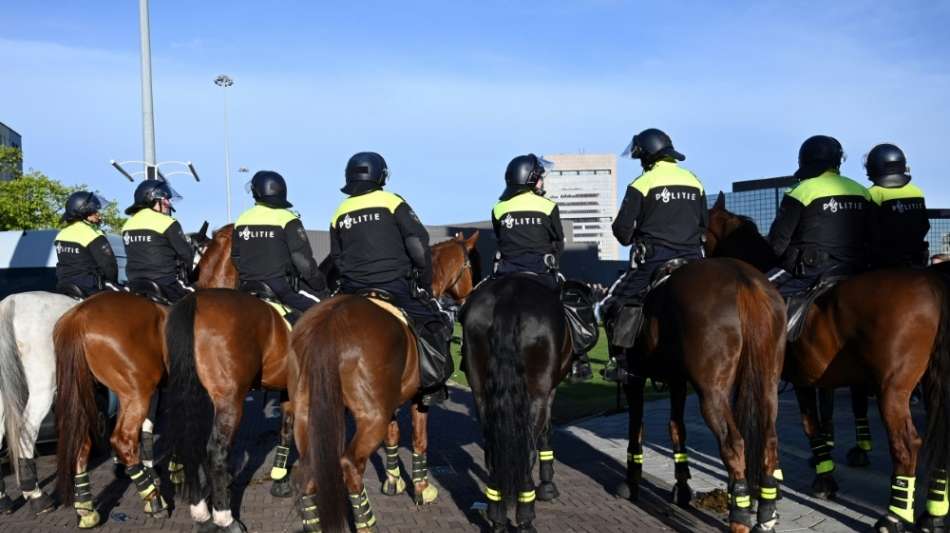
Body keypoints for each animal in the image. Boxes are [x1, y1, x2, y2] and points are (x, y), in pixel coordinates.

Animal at [53, 221, 237, 528]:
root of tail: (79, 315)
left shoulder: (161, 389)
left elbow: (151, 432)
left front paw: (164, 471)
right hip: (134, 392)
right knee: (123, 440)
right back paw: (153, 501)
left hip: (90, 393)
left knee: (82, 441)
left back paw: (87, 509)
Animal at [165, 230, 484, 532]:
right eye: (470, 265)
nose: (468, 297)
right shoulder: (415, 397)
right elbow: (419, 439)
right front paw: (420, 488)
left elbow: (289, 431)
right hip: (231, 400)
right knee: (217, 453)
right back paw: (224, 518)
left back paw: (200, 509)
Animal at [708, 196, 950, 532]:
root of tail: (933, 284)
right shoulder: (806, 381)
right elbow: (813, 427)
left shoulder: (791, 381)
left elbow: (810, 428)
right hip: (933, 385)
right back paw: (933, 516)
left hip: (892, 390)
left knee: (907, 446)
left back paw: (894, 517)